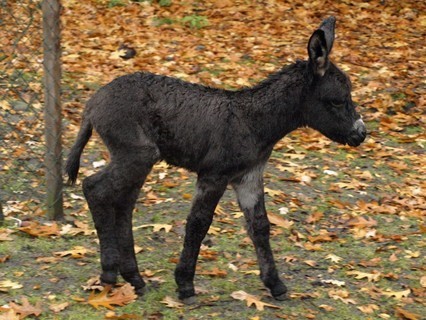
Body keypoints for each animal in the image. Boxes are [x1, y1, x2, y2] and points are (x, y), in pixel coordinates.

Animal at [66, 16, 366, 302]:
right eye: (337, 101)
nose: (361, 134)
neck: (253, 122)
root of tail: (93, 102)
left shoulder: (248, 177)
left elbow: (259, 226)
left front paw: (275, 284)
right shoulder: (214, 175)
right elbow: (198, 224)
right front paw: (185, 284)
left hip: (137, 160)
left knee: (123, 203)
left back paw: (134, 278)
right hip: (136, 154)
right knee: (95, 189)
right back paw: (109, 274)